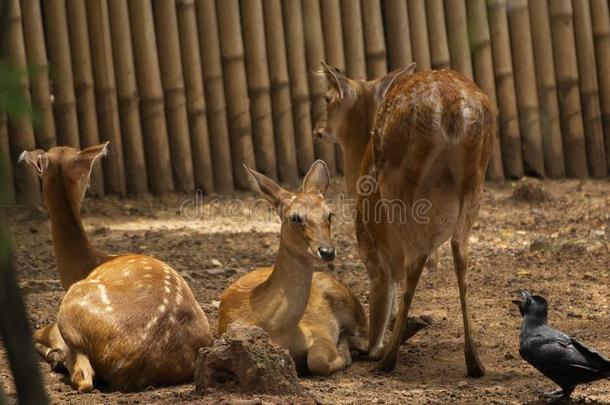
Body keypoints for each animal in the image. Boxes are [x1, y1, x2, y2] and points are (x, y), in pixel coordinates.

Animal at [216, 159, 366, 374]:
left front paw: (344, 350)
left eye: (330, 214)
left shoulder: (318, 330)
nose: (327, 251)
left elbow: (317, 360)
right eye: (295, 217)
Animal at [314, 62, 494, 376]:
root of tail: (449, 104)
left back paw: (388, 357)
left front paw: (375, 344)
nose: (318, 130)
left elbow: (383, 295)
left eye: (327, 98)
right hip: (474, 184)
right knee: (461, 255)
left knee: (416, 260)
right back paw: (474, 362)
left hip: (402, 188)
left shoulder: (371, 249)